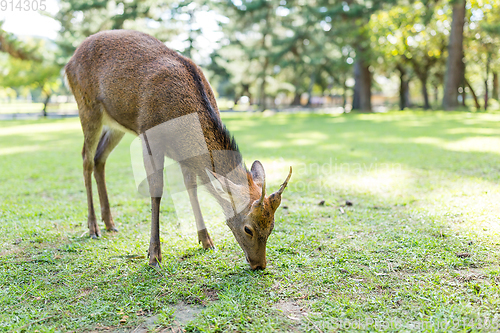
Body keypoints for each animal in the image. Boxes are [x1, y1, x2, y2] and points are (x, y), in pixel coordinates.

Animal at [64, 29, 292, 270]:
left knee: (100, 158)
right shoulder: (149, 136)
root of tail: (69, 62)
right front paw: (154, 255)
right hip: (87, 107)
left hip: (116, 125)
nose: (260, 264)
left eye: (272, 226)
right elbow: (156, 190)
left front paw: (206, 241)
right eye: (248, 228)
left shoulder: (184, 156)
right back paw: (93, 227)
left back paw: (109, 222)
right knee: (86, 159)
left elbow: (192, 187)